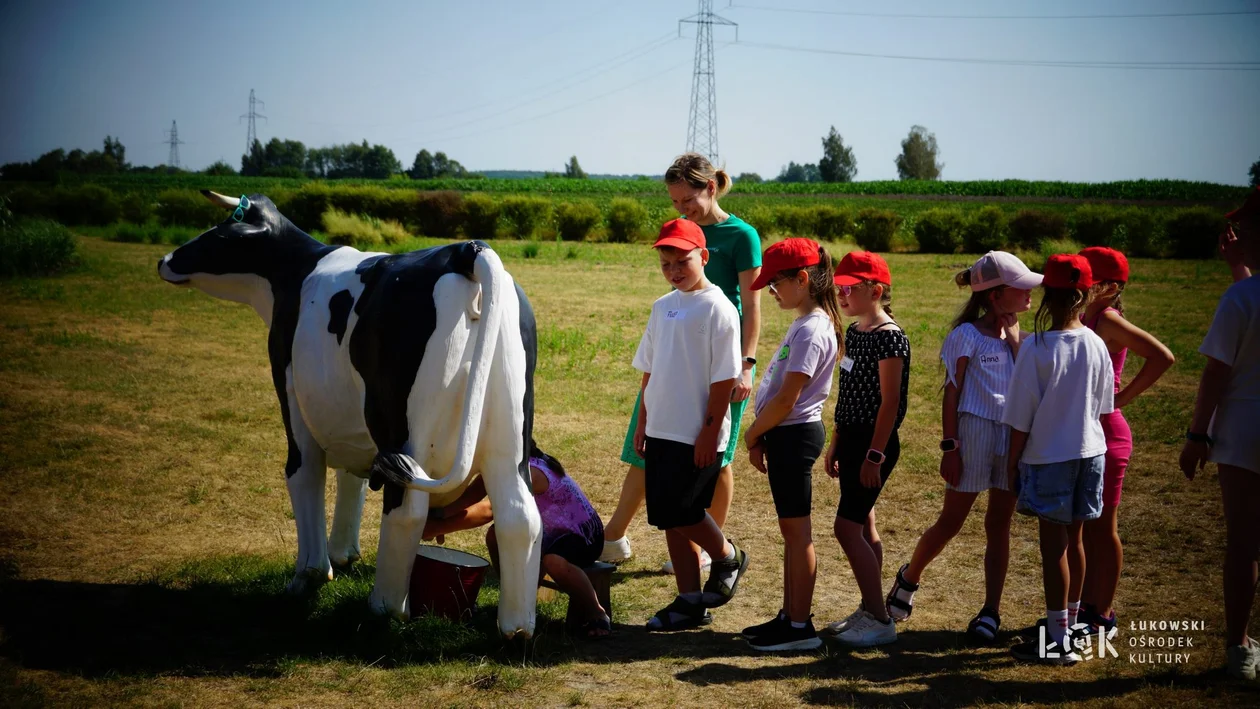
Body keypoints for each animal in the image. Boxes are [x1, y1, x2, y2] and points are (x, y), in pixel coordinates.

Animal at [157, 190, 541, 637]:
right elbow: (350, 478)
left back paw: (385, 607)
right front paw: (343, 554)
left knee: (406, 509)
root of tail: (467, 250)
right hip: (508, 435)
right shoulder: (352, 423)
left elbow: (304, 473)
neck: (297, 272)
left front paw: (308, 575)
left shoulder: (291, 394)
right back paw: (516, 626)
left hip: (406, 429)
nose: (164, 259)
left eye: (219, 231)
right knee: (519, 514)